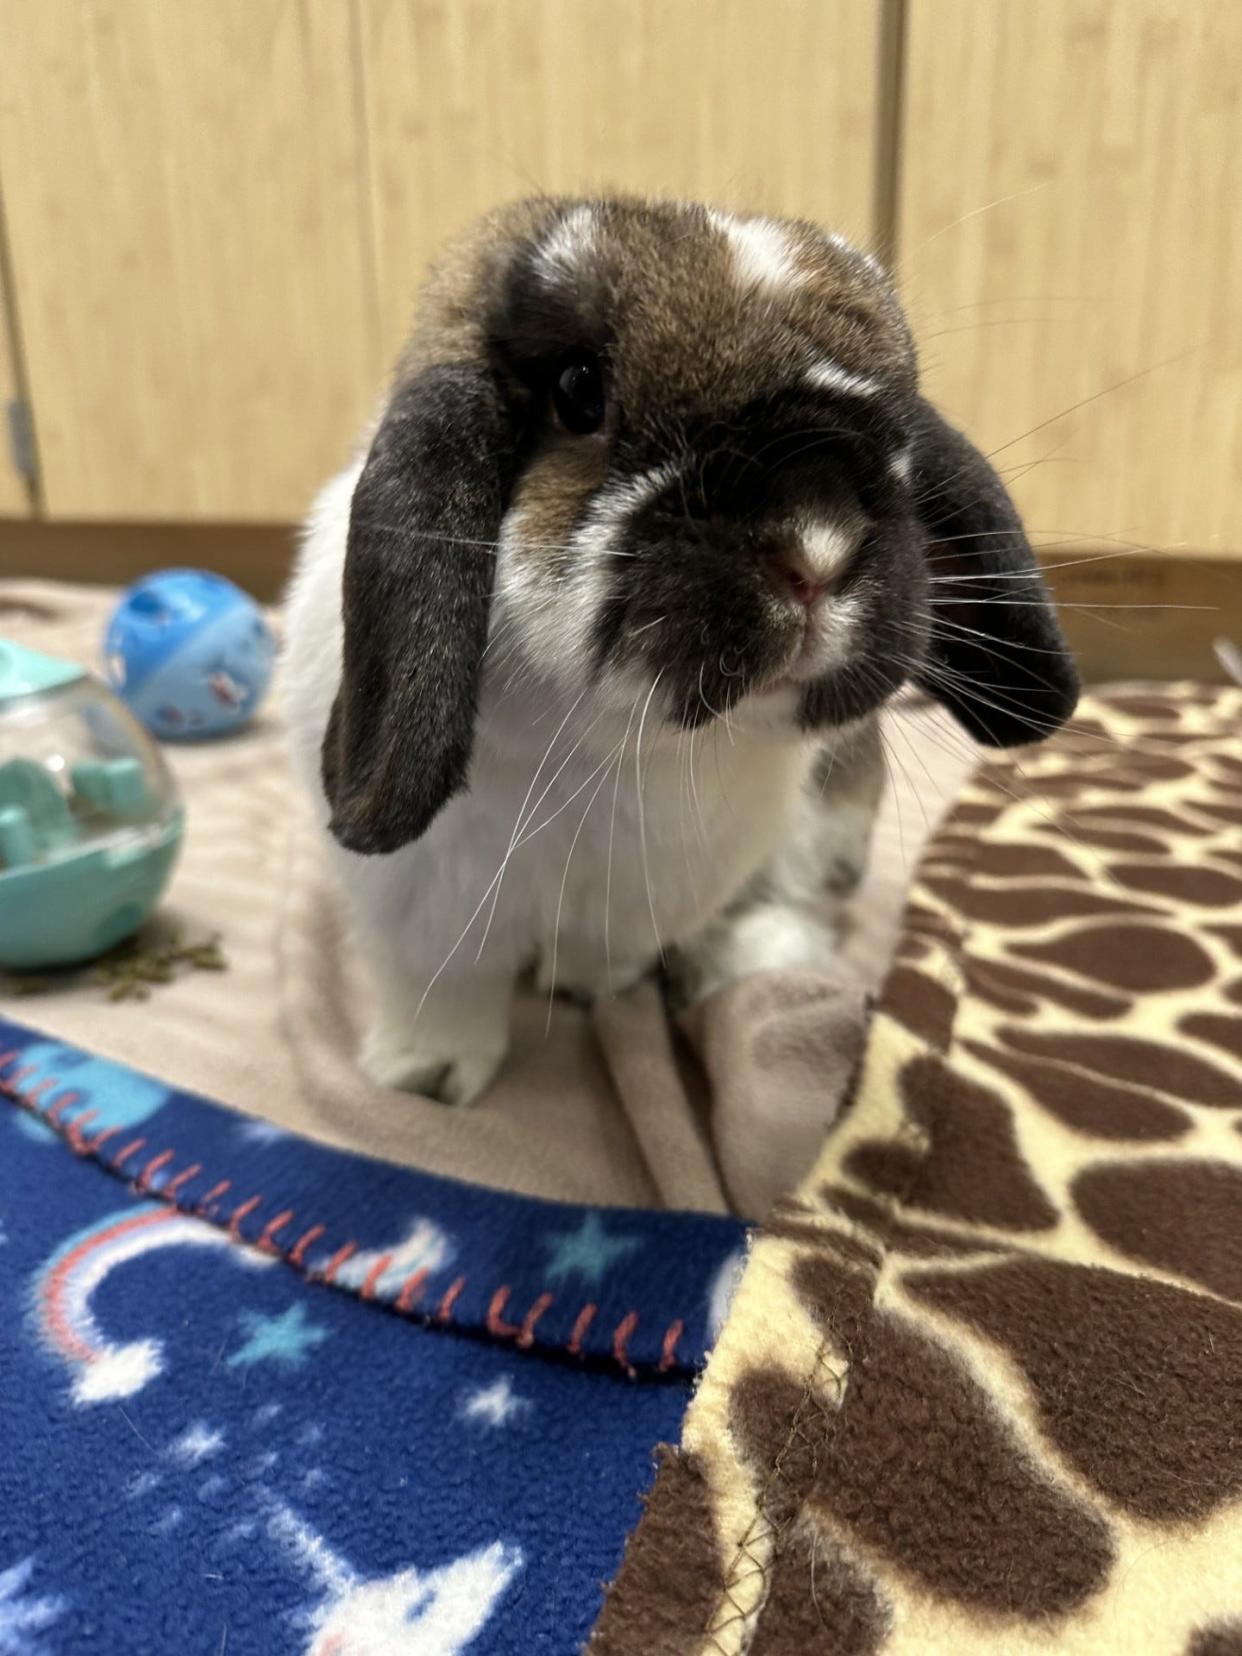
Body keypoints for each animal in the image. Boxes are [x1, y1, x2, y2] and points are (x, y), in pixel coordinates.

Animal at [281, 197, 1079, 1099]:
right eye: (579, 392)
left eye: (900, 424)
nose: (817, 550)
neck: (611, 749)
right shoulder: (420, 916)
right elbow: (442, 993)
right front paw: (427, 1082)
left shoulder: (644, 902)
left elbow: (599, 952)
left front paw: (590, 990)